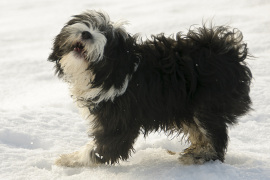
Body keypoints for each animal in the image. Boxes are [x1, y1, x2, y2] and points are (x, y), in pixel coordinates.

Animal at [48, 10, 251, 167]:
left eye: (107, 37)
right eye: (90, 24)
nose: (86, 34)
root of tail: (227, 50)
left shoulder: (119, 120)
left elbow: (104, 148)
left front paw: (69, 160)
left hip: (206, 105)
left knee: (215, 136)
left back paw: (201, 157)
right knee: (201, 133)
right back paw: (196, 151)